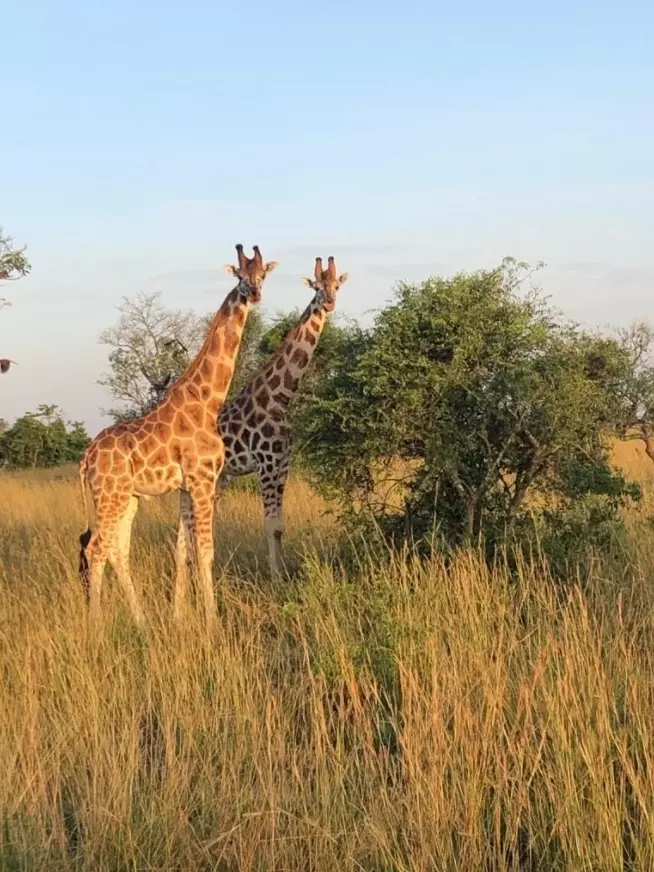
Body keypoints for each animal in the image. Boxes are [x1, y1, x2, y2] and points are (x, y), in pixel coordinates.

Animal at [78, 245, 278, 627]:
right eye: (240, 277)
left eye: (262, 275)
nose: (256, 293)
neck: (208, 401)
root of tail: (85, 458)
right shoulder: (202, 480)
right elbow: (205, 552)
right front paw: (213, 622)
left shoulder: (187, 488)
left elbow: (185, 551)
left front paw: (183, 618)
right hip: (110, 495)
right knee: (96, 548)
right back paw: (96, 627)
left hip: (128, 498)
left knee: (117, 550)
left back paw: (141, 622)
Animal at [196, 255, 348, 576]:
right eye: (317, 287)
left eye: (336, 285)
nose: (329, 302)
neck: (281, 398)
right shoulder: (266, 465)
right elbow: (270, 525)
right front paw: (276, 575)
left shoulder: (282, 464)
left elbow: (280, 525)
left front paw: (284, 570)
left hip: (220, 477)